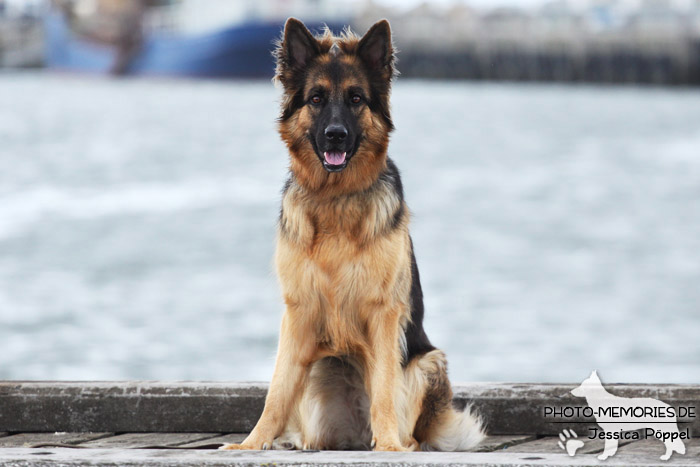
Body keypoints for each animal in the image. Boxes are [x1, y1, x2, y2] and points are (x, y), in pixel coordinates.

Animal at [221, 18, 484, 454]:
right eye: (315, 98)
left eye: (356, 98)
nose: (335, 135)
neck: (336, 199)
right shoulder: (297, 314)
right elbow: (276, 391)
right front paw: (252, 443)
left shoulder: (384, 315)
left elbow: (383, 387)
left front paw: (390, 445)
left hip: (428, 362)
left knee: (408, 426)